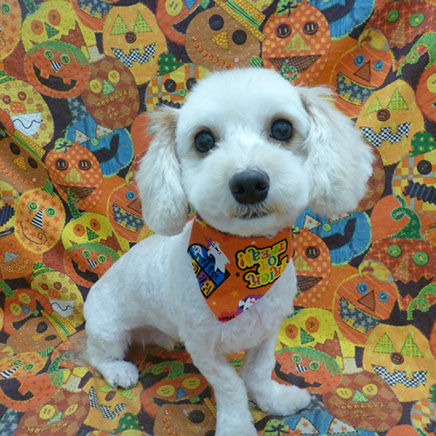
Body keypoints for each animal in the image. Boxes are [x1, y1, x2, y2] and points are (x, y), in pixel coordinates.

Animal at [83, 68, 374, 436]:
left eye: (282, 128)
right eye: (203, 141)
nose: (249, 183)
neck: (246, 261)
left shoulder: (268, 330)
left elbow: (258, 371)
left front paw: (273, 400)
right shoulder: (204, 348)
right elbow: (231, 385)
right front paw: (237, 425)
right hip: (108, 328)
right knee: (98, 356)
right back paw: (119, 370)